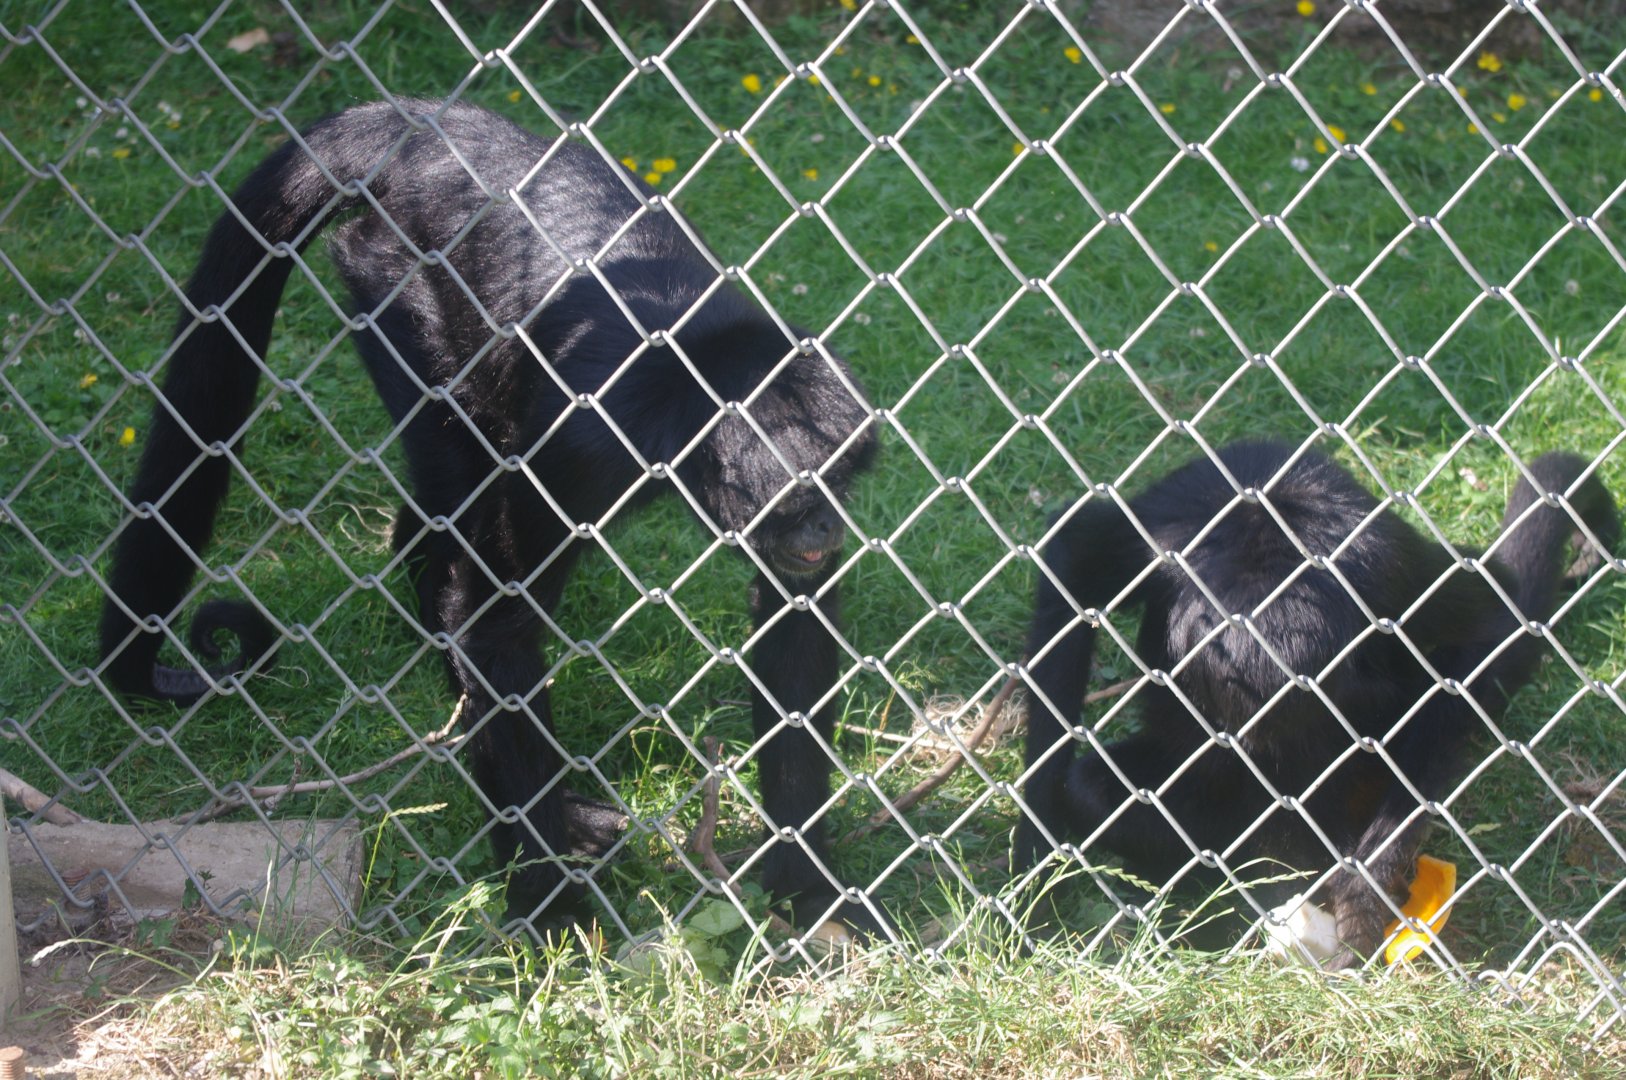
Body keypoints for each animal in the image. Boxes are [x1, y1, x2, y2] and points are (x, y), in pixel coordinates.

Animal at [97, 98, 883, 937]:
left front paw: (805, 881)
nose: (826, 526)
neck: (692, 370)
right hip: (396, 285)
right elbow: (500, 627)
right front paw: (551, 910)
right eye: (807, 496)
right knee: (459, 488)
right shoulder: (583, 442)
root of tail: (426, 130)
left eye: (842, 482)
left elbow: (795, 618)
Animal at [1015, 439, 1617, 965]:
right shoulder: (1165, 533)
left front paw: (1363, 893)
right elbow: (1072, 558)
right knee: (1091, 787)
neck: (1267, 534)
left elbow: (1484, 629)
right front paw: (1033, 873)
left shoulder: (1390, 569)